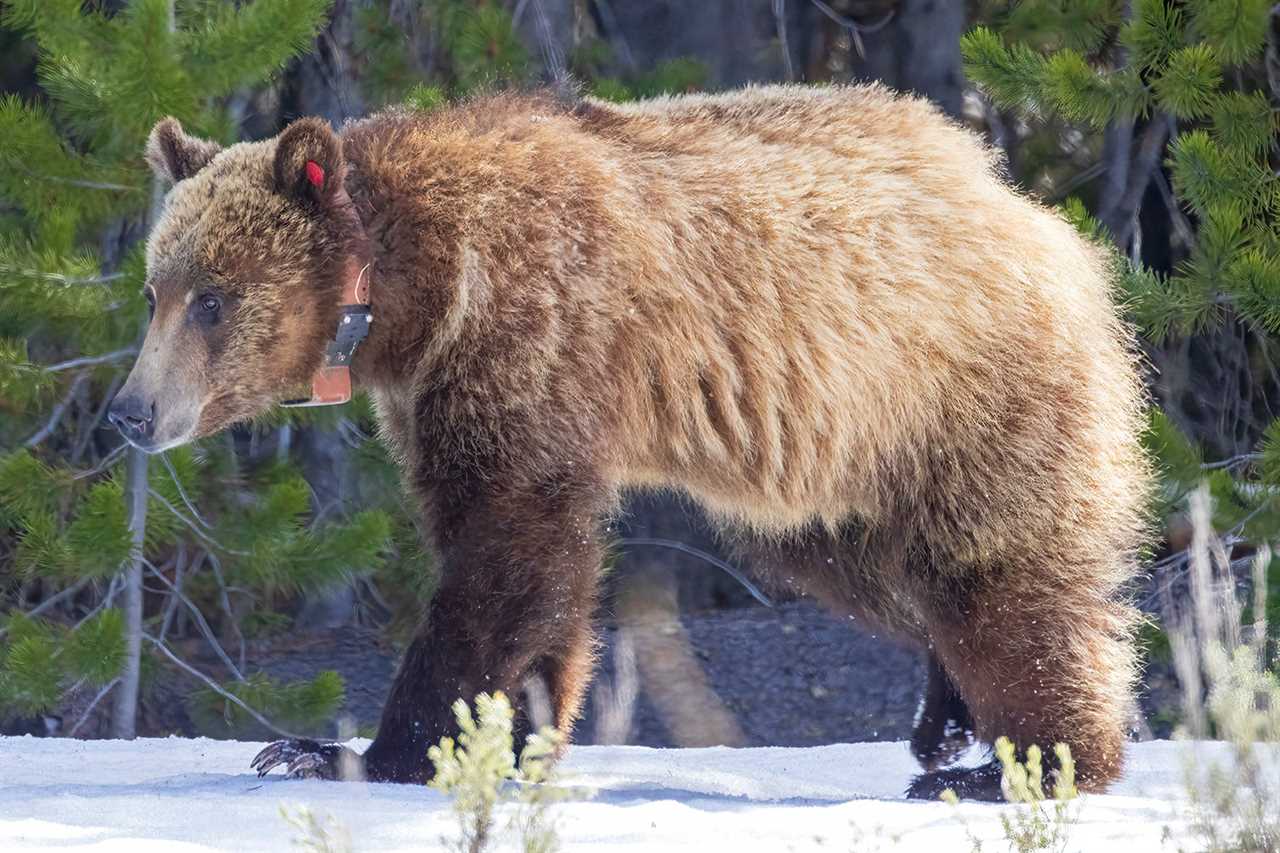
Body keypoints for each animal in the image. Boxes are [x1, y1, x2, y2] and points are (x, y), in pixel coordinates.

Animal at [112, 83, 1152, 794]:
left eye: (213, 297)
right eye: (155, 290)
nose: (130, 411)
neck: (409, 291)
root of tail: (1044, 221)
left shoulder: (524, 333)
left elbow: (508, 552)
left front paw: (361, 747)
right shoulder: (440, 391)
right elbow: (531, 567)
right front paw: (510, 731)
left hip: (955, 391)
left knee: (1000, 574)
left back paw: (1026, 760)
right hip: (839, 452)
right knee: (870, 559)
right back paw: (944, 720)